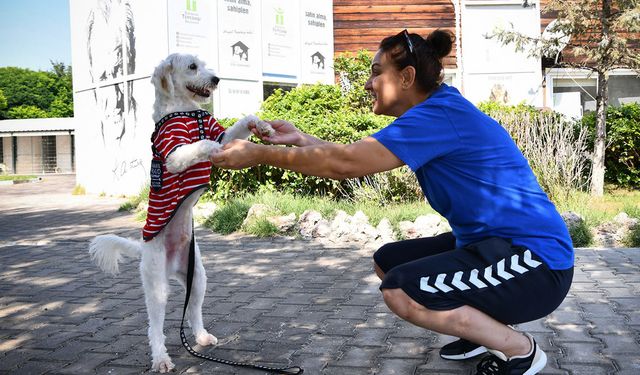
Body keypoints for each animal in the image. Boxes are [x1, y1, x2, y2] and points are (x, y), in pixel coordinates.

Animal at [88, 53, 272, 374]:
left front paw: (263, 127)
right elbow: (203, 144)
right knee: (155, 327)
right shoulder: (175, 155)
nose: (216, 79)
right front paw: (217, 151)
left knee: (193, 313)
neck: (185, 111)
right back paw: (161, 358)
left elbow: (240, 124)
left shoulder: (221, 133)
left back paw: (201, 337)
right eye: (192, 67)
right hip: (156, 287)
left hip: (197, 278)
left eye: (205, 64)